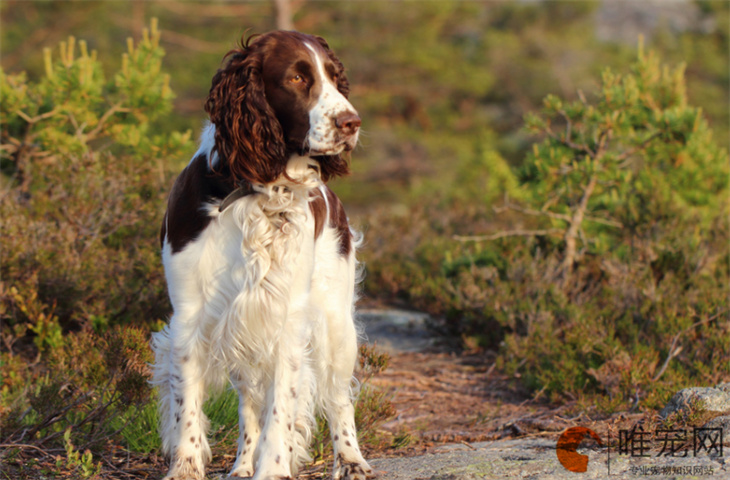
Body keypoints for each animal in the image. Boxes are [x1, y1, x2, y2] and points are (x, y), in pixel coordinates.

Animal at [151, 31, 372, 480]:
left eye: (334, 77)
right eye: (297, 78)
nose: (351, 122)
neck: (260, 189)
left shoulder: (286, 317)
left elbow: (281, 411)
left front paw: (273, 467)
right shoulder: (192, 315)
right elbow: (188, 406)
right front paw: (187, 466)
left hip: (335, 321)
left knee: (338, 397)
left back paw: (351, 459)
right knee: (249, 402)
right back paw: (240, 466)